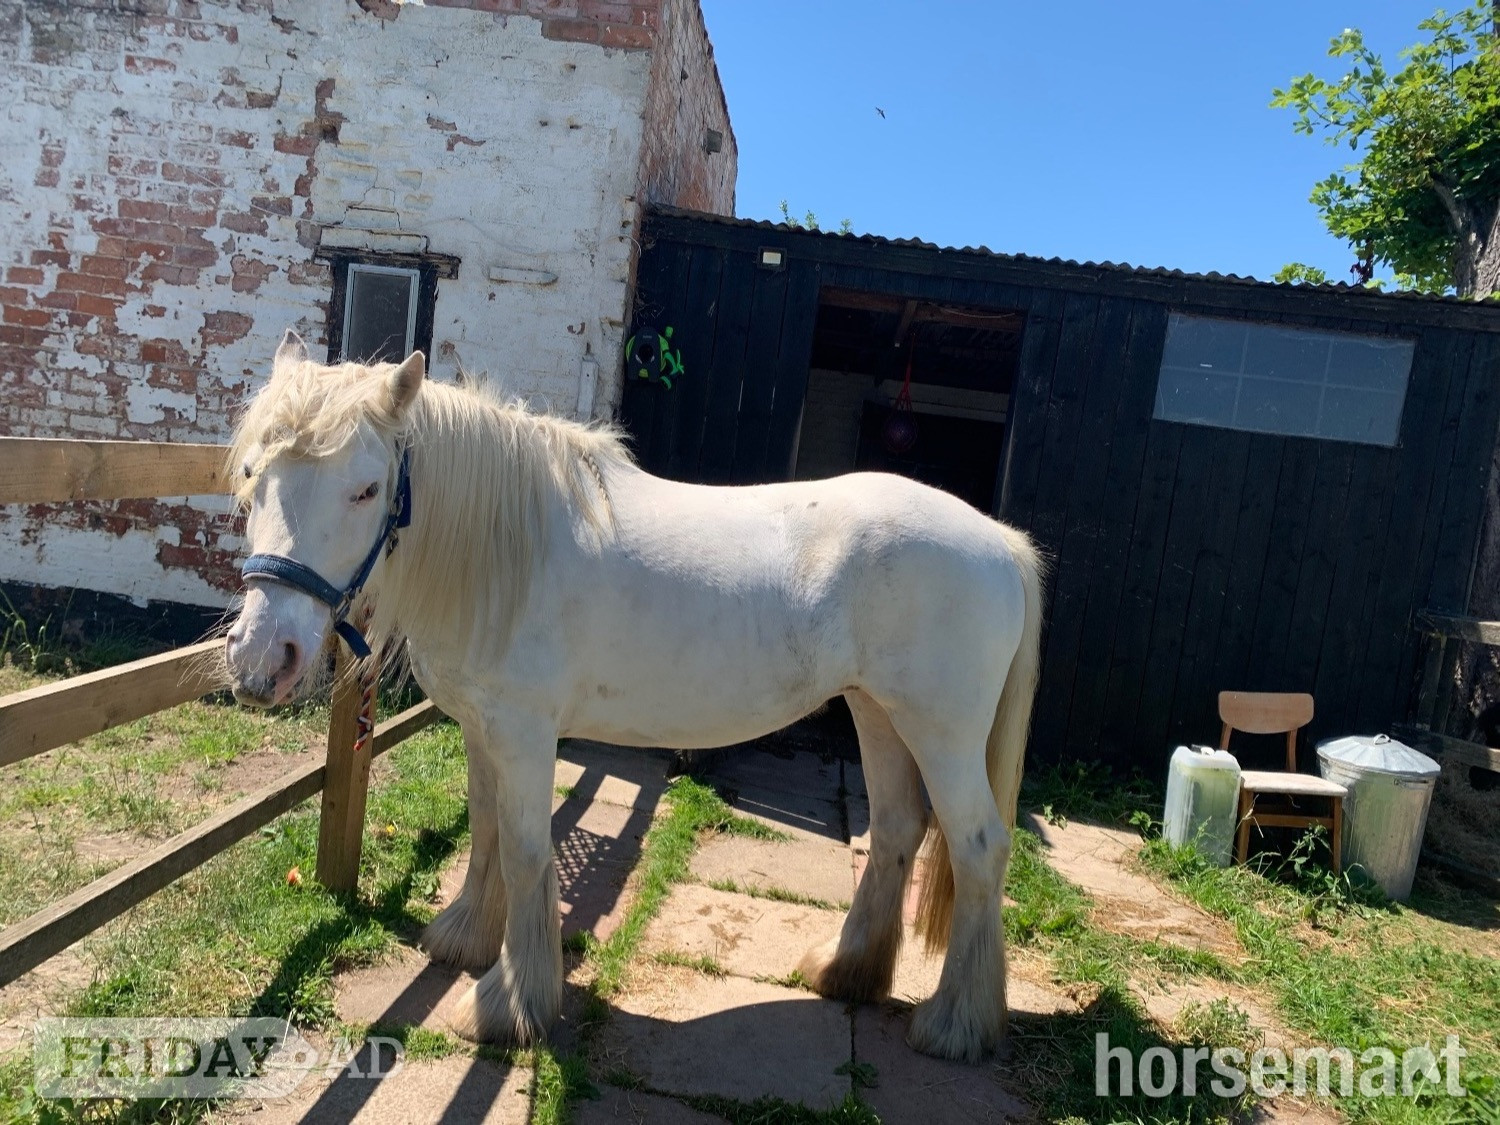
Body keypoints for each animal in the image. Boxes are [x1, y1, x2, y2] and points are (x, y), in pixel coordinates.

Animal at [223, 335, 1045, 1063]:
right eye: (253, 476)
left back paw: (955, 1024)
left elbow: (525, 850)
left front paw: (509, 1004)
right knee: (899, 829)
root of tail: (999, 541)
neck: (505, 548)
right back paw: (846, 971)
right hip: (878, 712)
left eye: (365, 488)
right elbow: (486, 830)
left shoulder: (525, 733)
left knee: (978, 846)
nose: (264, 659)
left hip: (941, 733)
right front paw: (464, 937)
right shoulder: (484, 730)